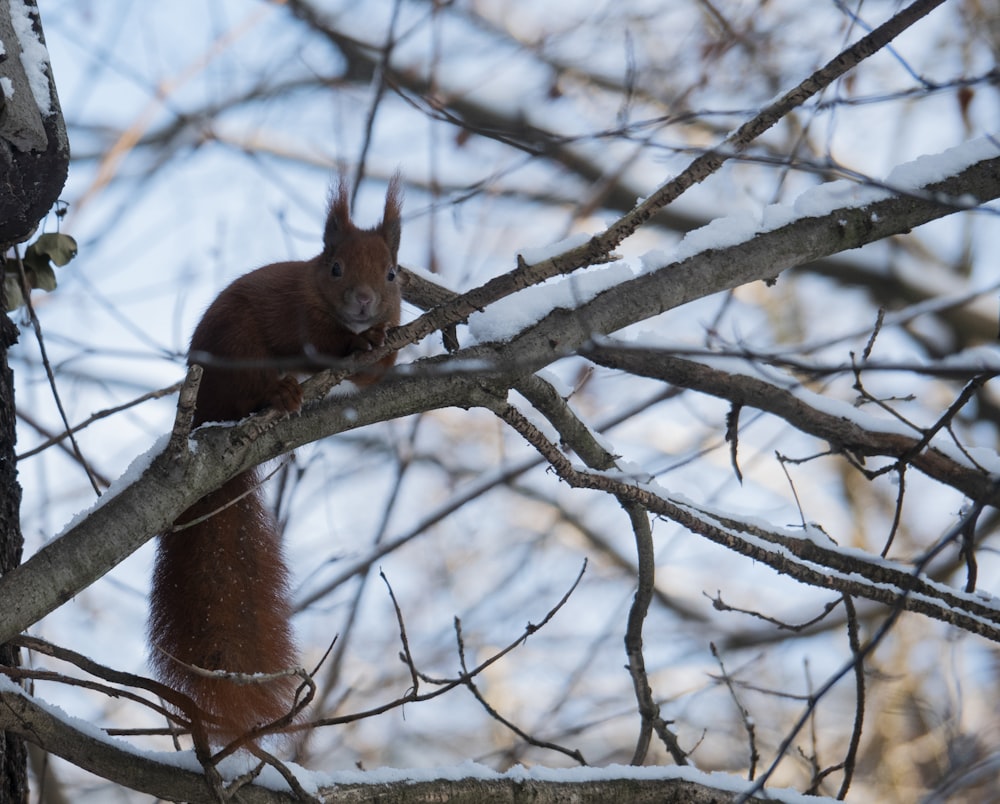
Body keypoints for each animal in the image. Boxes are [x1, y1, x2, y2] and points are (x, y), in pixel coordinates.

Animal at [148, 176, 402, 740]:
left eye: (393, 273)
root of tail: (202, 416)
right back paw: (281, 393)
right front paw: (360, 339)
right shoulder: (300, 315)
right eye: (335, 268)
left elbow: (375, 370)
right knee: (251, 391)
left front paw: (384, 341)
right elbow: (324, 343)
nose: (364, 302)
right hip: (240, 349)